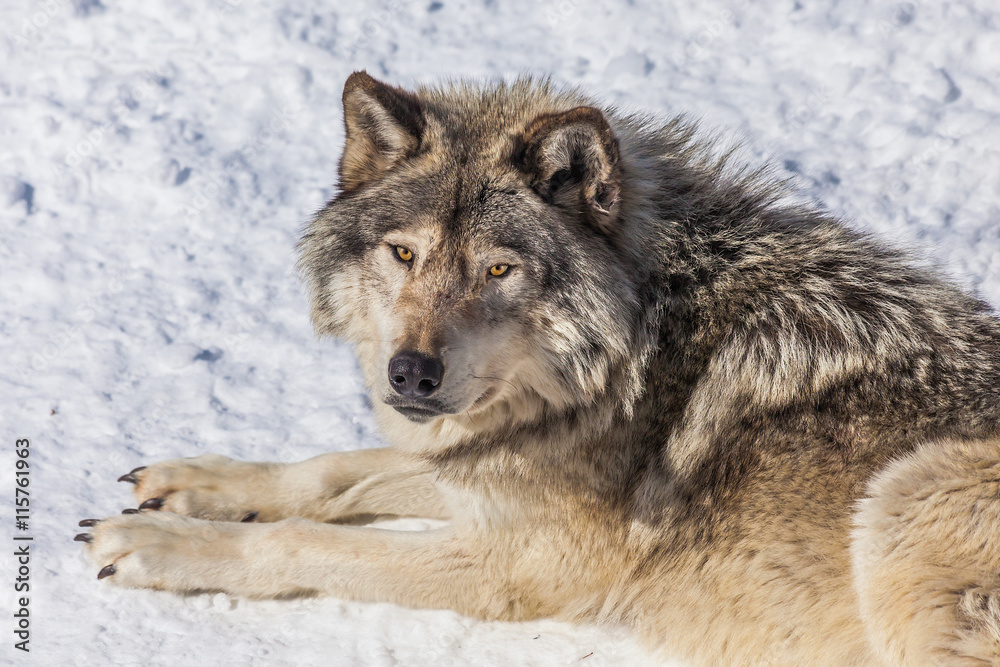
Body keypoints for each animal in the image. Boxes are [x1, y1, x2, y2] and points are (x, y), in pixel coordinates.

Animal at [78, 71, 1000, 665]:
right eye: (404, 254)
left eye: (497, 270)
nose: (410, 374)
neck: (635, 352)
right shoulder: (481, 472)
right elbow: (334, 471)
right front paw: (200, 483)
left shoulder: (515, 566)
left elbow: (304, 538)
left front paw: (161, 544)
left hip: (905, 492)